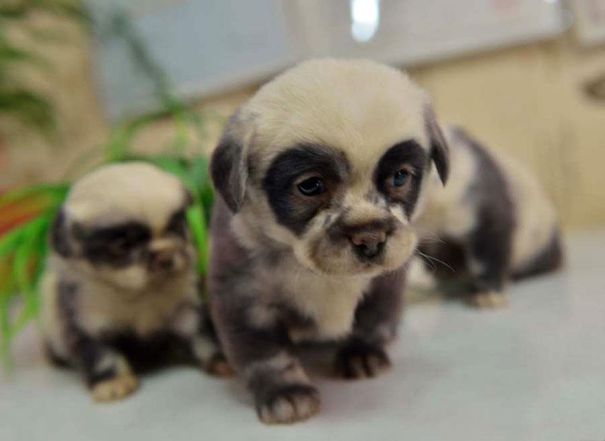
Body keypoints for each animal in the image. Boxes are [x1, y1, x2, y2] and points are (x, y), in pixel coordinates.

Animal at [40, 162, 229, 402]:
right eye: (123, 245)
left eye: (176, 227)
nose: (165, 256)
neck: (137, 292)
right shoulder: (89, 325)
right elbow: (102, 355)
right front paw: (112, 382)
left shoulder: (186, 311)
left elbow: (204, 335)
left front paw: (219, 360)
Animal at [208, 58, 448, 422]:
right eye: (310, 186)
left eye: (399, 177)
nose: (369, 237)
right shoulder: (243, 299)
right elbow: (266, 354)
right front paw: (285, 391)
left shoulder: (386, 283)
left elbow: (372, 320)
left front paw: (362, 353)